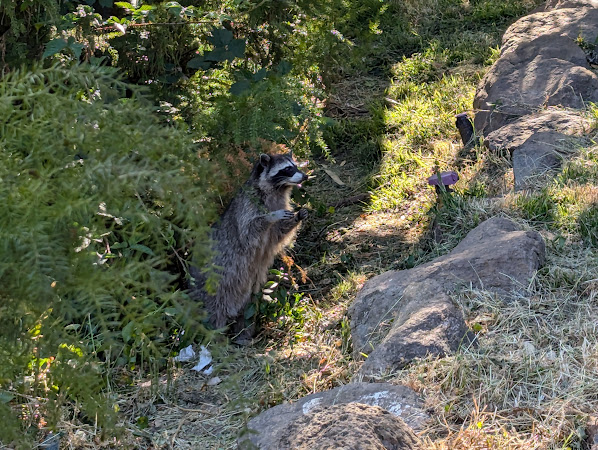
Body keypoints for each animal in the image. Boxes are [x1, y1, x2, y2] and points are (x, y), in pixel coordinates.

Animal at [191, 153, 310, 332]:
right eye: (288, 169)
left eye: (295, 165)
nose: (305, 176)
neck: (277, 190)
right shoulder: (248, 206)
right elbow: (249, 231)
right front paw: (271, 216)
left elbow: (279, 234)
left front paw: (298, 216)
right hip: (214, 284)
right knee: (215, 309)